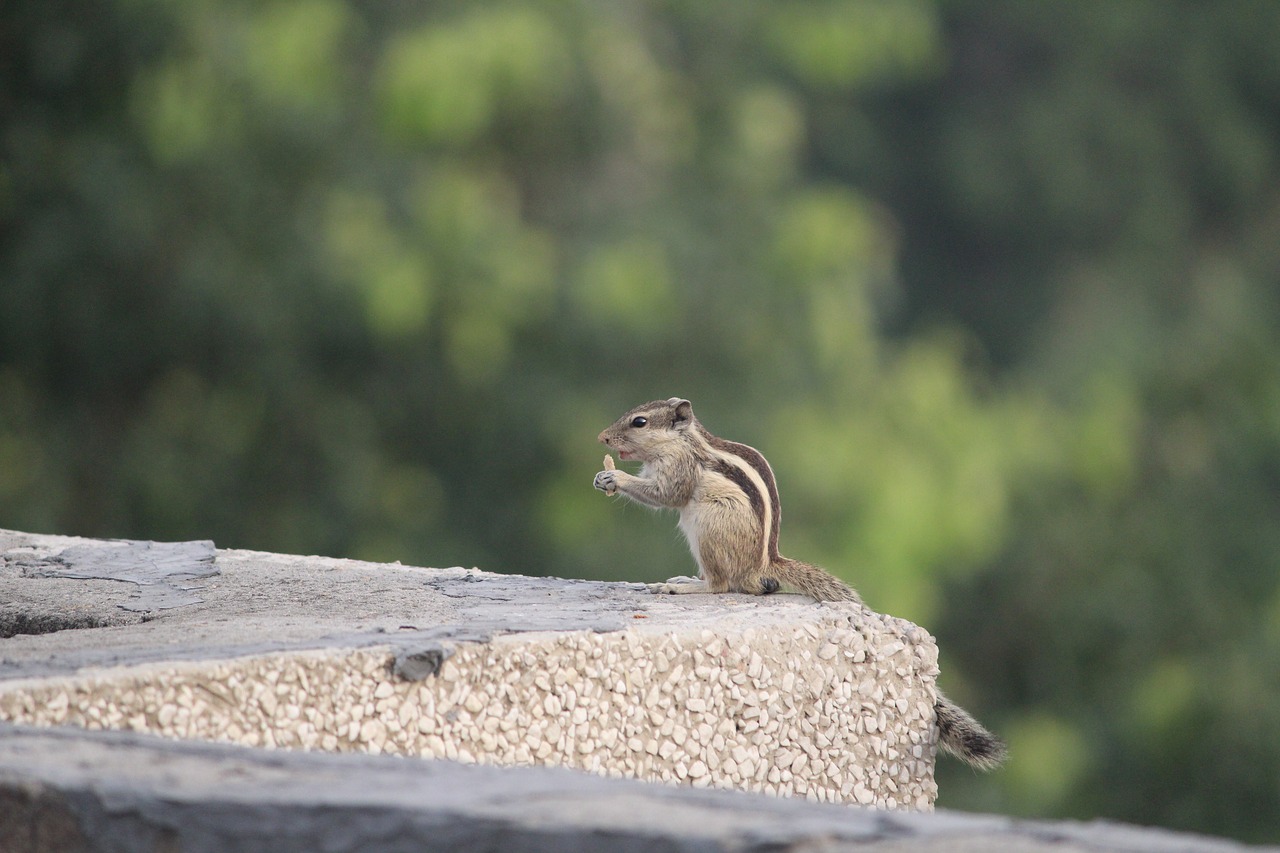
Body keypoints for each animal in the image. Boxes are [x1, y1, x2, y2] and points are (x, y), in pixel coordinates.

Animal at [593, 394, 1003, 768]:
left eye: (640, 422)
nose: (602, 438)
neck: (683, 441)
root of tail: (764, 565)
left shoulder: (680, 470)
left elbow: (664, 495)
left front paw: (615, 477)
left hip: (708, 525)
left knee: (723, 584)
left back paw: (686, 585)